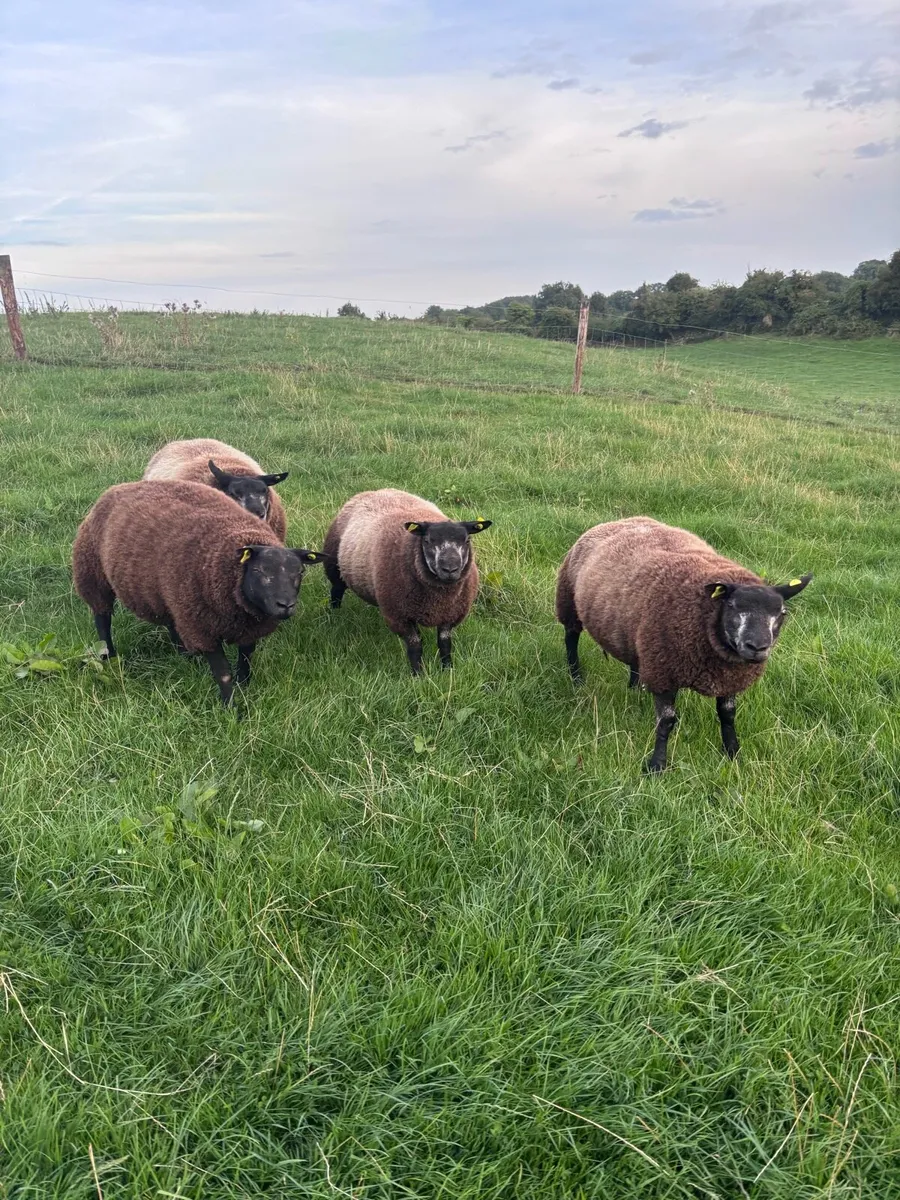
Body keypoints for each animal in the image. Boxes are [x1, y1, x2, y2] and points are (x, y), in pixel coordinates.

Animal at [73, 480, 324, 706]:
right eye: (258, 570)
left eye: (300, 571)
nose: (286, 605)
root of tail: (118, 487)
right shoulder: (202, 628)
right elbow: (223, 673)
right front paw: (232, 709)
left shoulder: (248, 626)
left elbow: (246, 657)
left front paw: (244, 686)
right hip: (93, 573)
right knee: (102, 619)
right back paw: (108, 656)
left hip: (169, 596)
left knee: (171, 622)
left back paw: (186, 657)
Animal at [322, 488, 492, 674]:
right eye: (427, 541)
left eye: (467, 540)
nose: (450, 569)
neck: (439, 600)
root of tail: (376, 490)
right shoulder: (399, 616)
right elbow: (415, 645)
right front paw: (418, 674)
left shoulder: (450, 613)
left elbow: (445, 644)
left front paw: (447, 670)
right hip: (334, 566)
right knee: (336, 591)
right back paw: (335, 614)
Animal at [555, 517, 812, 772]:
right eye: (731, 606)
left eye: (782, 613)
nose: (757, 647)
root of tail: (622, 519)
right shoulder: (664, 673)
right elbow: (666, 721)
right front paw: (656, 765)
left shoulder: (729, 679)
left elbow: (728, 715)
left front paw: (733, 753)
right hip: (569, 601)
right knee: (571, 639)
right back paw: (576, 677)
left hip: (637, 634)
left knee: (635, 659)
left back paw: (634, 688)